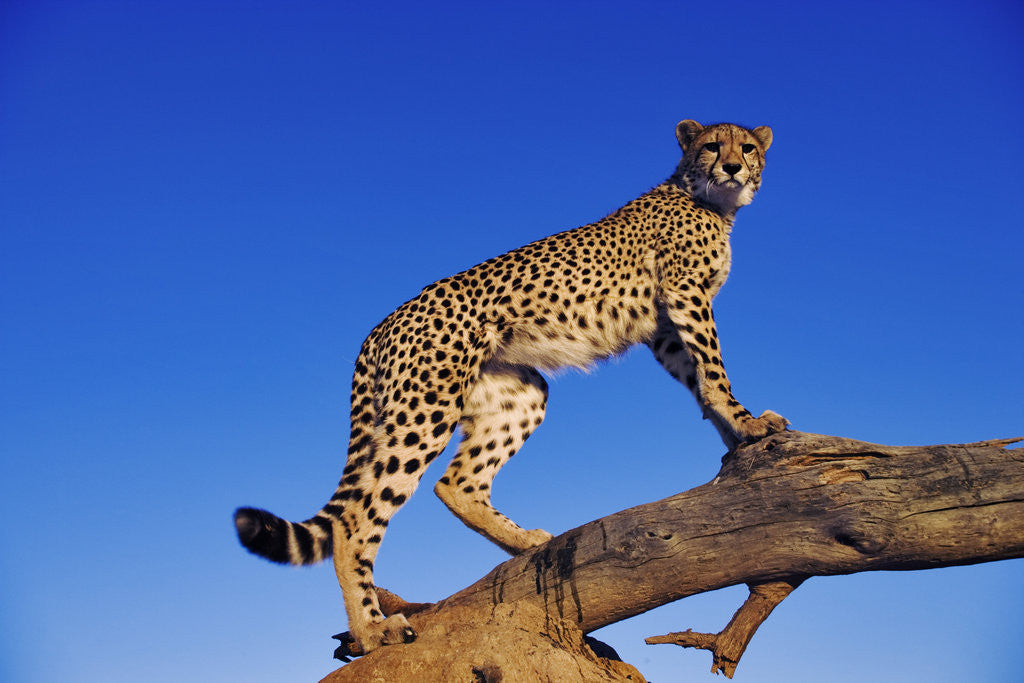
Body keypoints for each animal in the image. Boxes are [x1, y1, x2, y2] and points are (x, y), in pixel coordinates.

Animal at [234, 119, 789, 656]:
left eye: (747, 148)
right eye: (713, 146)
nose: (734, 167)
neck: (709, 201)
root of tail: (382, 324)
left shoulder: (665, 329)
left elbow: (698, 378)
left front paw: (736, 436)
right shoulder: (684, 294)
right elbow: (714, 369)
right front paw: (749, 424)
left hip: (517, 394)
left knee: (455, 483)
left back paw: (528, 544)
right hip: (425, 410)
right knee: (354, 521)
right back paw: (372, 630)